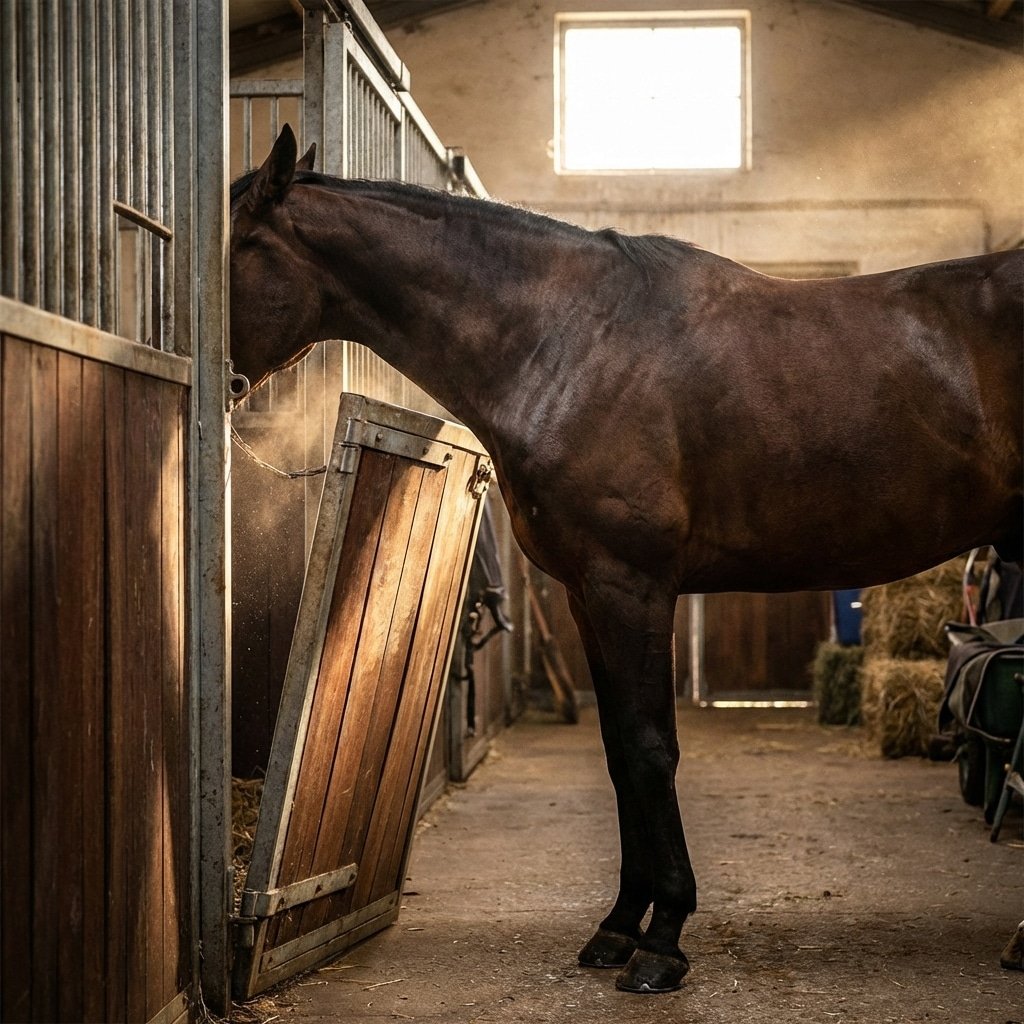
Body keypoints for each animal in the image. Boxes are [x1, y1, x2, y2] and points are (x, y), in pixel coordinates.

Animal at [229, 124, 1023, 994]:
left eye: (233, 246)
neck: (568, 341)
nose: (227, 387)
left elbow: (649, 749)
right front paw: (618, 925)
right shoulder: (586, 592)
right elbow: (617, 751)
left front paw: (663, 939)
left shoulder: (631, 585)